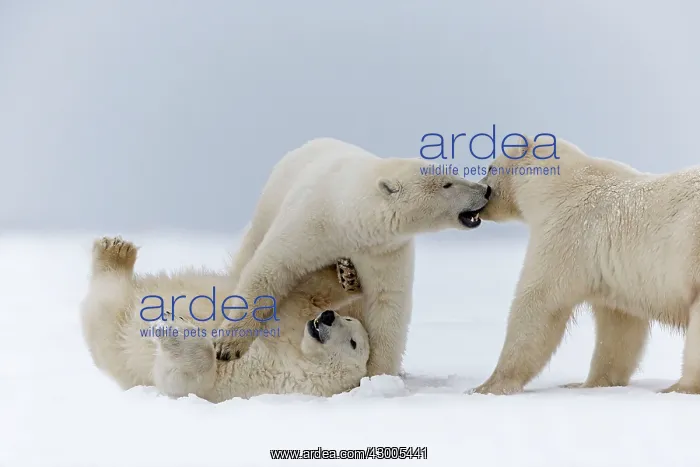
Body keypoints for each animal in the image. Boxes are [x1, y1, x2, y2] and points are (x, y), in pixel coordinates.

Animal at [80, 236, 371, 400]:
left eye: (353, 343)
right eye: (347, 318)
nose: (328, 317)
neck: (294, 353)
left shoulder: (257, 379)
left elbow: (184, 378)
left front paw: (172, 327)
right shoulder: (293, 318)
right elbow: (307, 293)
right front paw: (347, 274)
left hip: (114, 335)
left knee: (107, 303)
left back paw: (114, 255)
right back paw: (116, 249)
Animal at [215, 137, 492, 377]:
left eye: (453, 173)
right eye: (447, 184)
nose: (486, 189)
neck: (348, 218)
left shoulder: (383, 250)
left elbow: (387, 303)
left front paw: (378, 376)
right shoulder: (311, 224)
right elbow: (271, 269)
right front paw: (228, 347)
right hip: (269, 205)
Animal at [470, 134, 700, 395]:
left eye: (490, 168)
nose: (481, 190)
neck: (557, 188)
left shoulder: (567, 235)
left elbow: (539, 304)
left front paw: (487, 386)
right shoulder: (616, 275)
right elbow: (618, 328)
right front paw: (589, 383)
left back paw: (678, 387)